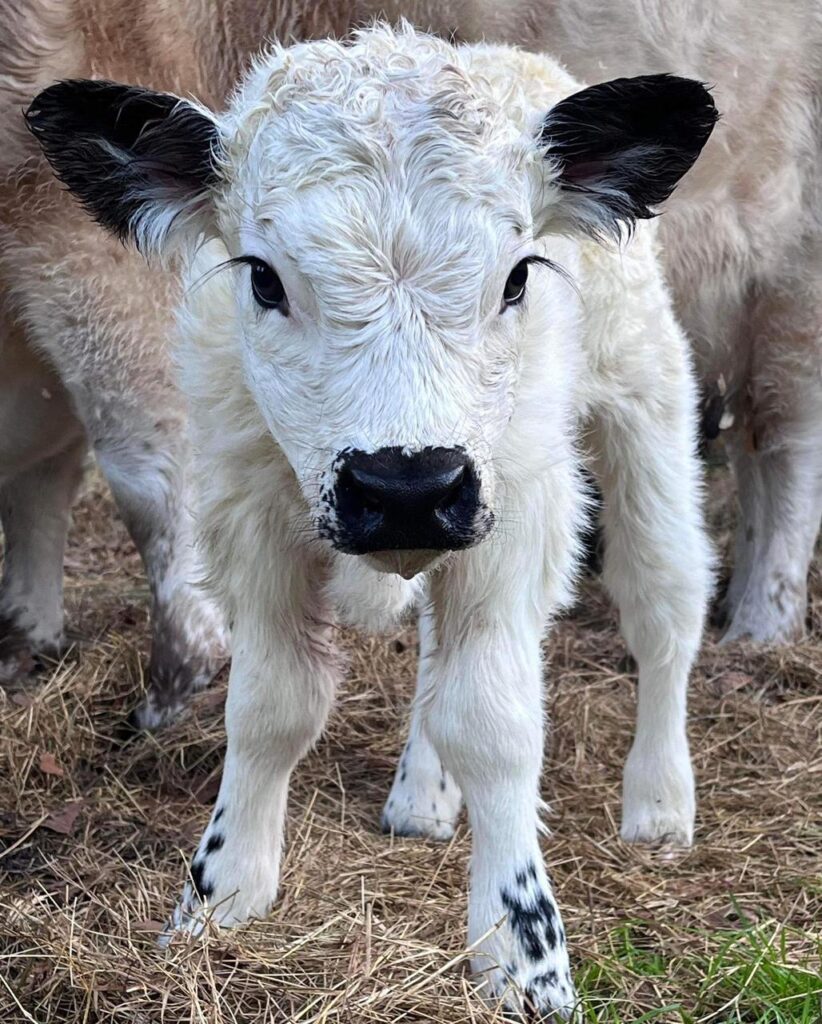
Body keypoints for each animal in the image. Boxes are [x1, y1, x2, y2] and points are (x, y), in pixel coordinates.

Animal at [26, 23, 716, 1017]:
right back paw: (424, 795)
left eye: (518, 278)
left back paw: (659, 803)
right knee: (437, 650)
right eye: (263, 279)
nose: (406, 485)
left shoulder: (516, 513)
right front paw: (217, 900)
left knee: (664, 602)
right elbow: (270, 706)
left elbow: (496, 722)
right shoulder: (250, 512)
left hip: (644, 405)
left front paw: (524, 955)